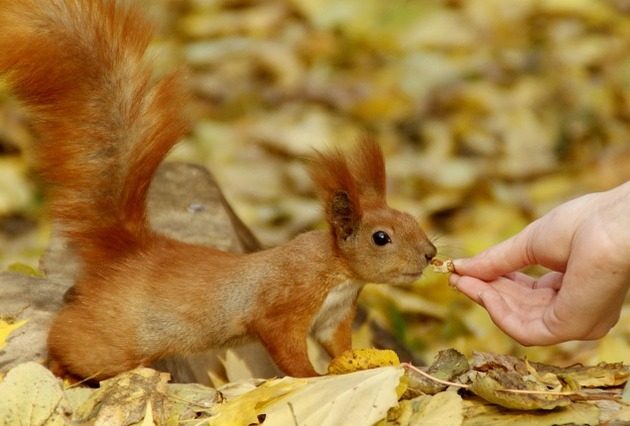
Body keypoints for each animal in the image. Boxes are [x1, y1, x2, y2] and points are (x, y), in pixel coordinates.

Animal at [0, 0, 436, 380]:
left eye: (412, 220)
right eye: (381, 238)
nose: (430, 254)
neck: (336, 270)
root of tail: (133, 250)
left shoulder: (334, 317)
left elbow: (340, 346)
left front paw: (361, 362)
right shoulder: (284, 304)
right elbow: (287, 350)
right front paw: (310, 376)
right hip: (113, 339)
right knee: (70, 337)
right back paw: (59, 364)